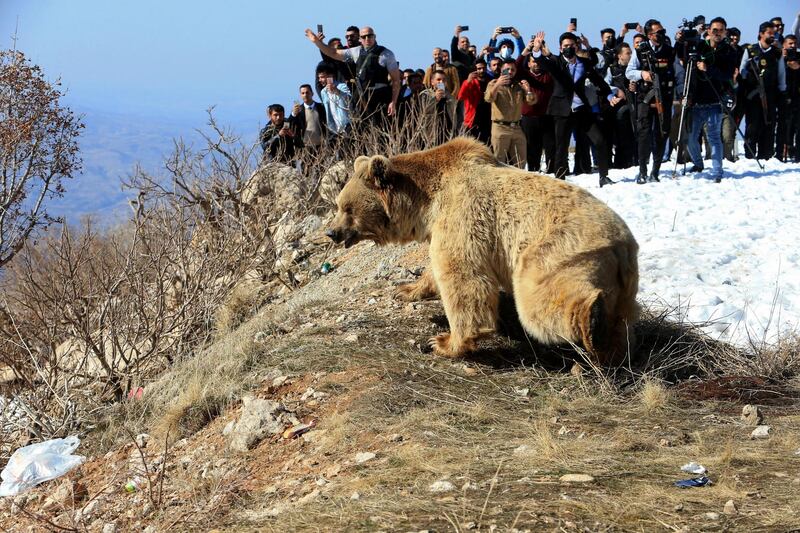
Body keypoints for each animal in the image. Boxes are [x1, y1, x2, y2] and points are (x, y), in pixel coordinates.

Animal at [324, 135, 636, 364]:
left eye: (347, 208)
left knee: (538, 301)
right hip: (623, 285)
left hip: (553, 251)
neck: (426, 202)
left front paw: (444, 342)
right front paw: (406, 289)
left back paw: (592, 322)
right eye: (339, 205)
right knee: (622, 322)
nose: (332, 232)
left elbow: (462, 278)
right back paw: (610, 350)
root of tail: (623, 245)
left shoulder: (462, 215)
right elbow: (434, 269)